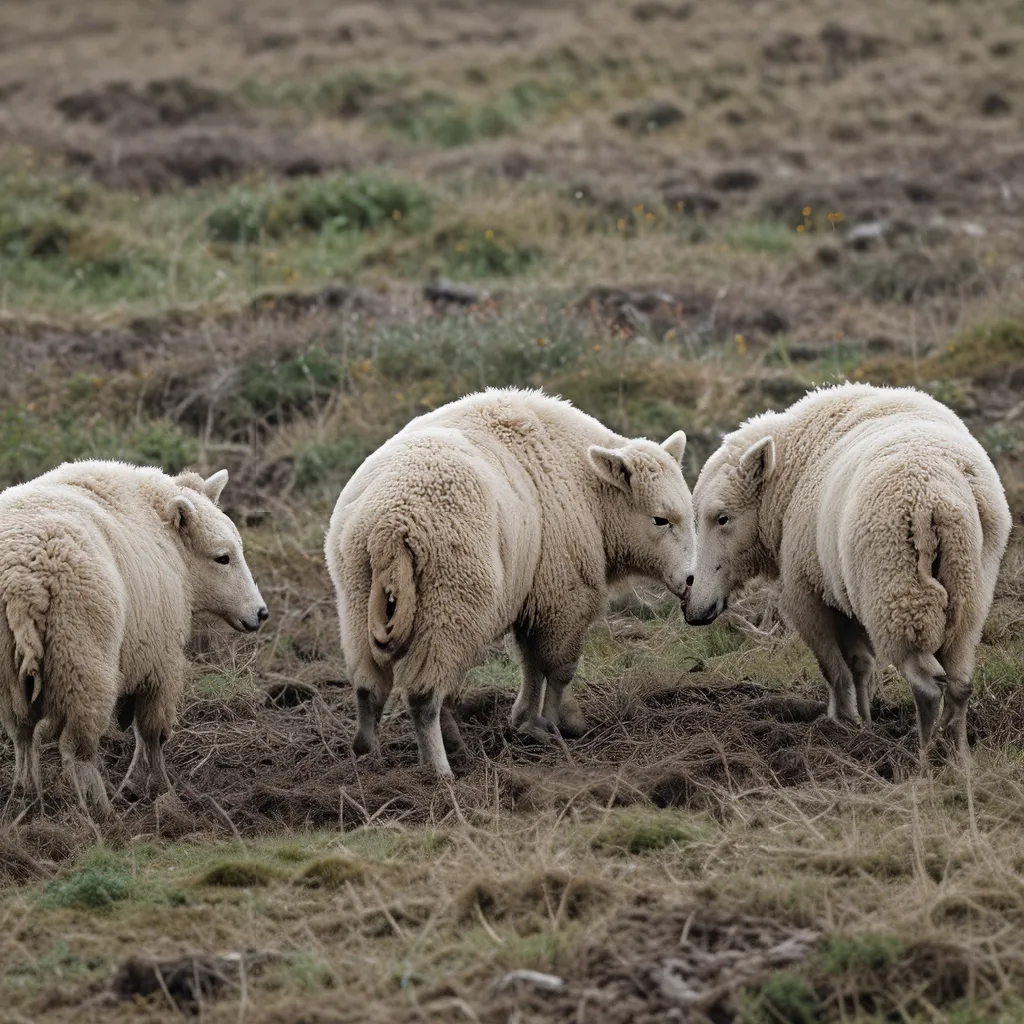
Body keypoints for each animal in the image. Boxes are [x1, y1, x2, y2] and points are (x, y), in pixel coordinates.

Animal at [0, 464, 268, 815]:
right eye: (222, 557)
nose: (261, 613)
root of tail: (22, 585)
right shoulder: (160, 656)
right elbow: (151, 732)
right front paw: (159, 789)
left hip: (9, 667)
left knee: (22, 734)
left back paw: (25, 797)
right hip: (81, 656)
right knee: (77, 748)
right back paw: (100, 810)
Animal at [327, 389, 696, 774]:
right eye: (660, 519)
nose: (691, 580)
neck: (594, 496)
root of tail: (392, 525)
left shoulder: (536, 596)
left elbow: (531, 666)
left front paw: (529, 721)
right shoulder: (564, 596)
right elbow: (558, 669)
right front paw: (553, 724)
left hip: (358, 596)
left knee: (370, 686)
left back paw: (370, 752)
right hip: (450, 599)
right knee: (424, 694)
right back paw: (440, 769)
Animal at [684, 380, 1011, 757]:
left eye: (722, 518)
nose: (695, 610)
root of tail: (934, 499)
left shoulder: (807, 593)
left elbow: (833, 669)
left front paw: (841, 723)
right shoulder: (846, 592)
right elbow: (860, 664)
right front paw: (866, 724)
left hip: (895, 590)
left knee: (928, 683)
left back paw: (924, 755)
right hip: (966, 592)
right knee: (960, 683)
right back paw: (957, 754)